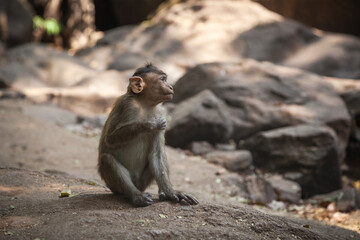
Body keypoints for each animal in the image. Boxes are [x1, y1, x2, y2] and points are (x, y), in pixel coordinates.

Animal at [98, 63, 200, 206]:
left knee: (160, 155)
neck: (145, 104)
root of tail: (138, 186)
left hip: (143, 182)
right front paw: (149, 125)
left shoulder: (161, 112)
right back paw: (136, 195)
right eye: (162, 79)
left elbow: (157, 155)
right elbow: (110, 138)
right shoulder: (128, 106)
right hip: (114, 186)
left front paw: (171, 192)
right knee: (107, 159)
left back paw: (162, 193)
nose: (171, 87)